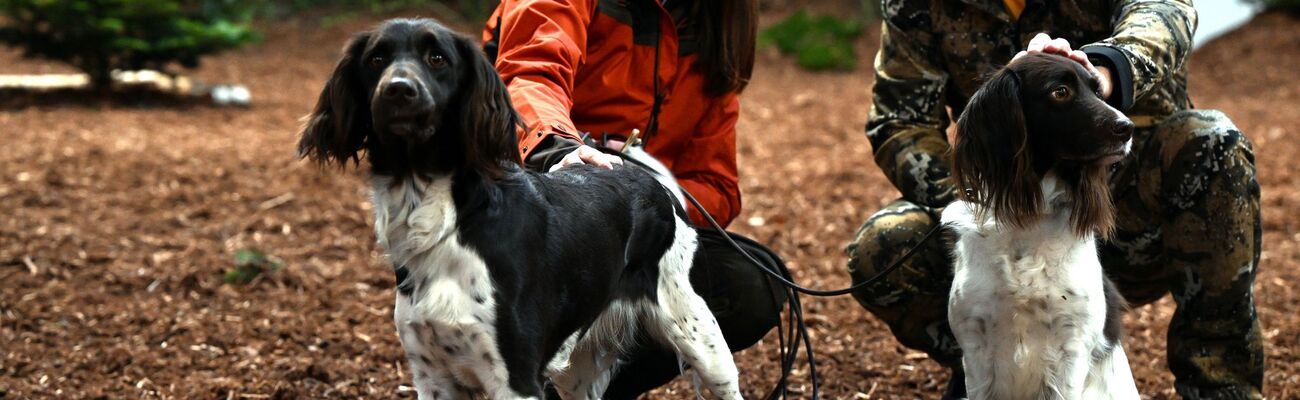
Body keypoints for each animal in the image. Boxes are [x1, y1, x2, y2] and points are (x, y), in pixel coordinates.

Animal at [297, 18, 743, 400]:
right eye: (376, 59)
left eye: (437, 58)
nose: (398, 89)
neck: (449, 220)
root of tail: (649, 182)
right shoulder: (433, 376)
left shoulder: (514, 377)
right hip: (579, 367)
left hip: (699, 333)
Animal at [946, 53, 1138, 400]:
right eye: (1060, 92)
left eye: (1099, 90)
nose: (1127, 128)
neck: (1030, 218)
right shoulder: (975, 345)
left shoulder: (1071, 347)